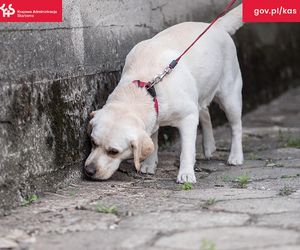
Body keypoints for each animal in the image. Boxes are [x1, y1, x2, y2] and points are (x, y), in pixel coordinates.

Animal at [84, 4, 244, 184]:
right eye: (93, 142)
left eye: (113, 151)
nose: (88, 171)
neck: (145, 87)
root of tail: (216, 25)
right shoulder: (154, 118)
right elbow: (153, 141)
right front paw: (149, 164)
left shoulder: (188, 117)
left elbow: (187, 149)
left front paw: (186, 173)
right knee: (205, 112)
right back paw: (209, 146)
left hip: (230, 96)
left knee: (236, 126)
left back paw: (236, 156)